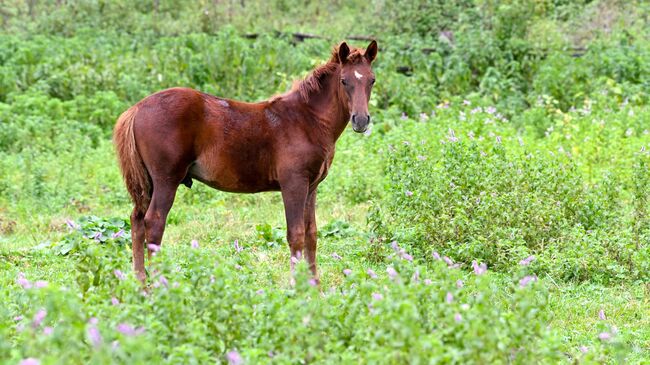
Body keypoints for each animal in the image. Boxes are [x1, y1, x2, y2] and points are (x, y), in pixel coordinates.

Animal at [114, 39, 378, 280]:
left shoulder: (311, 186)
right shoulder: (293, 183)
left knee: (137, 220)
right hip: (166, 179)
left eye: (372, 80)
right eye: (344, 81)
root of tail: (136, 108)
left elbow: (311, 234)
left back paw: (141, 284)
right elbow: (296, 235)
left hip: (148, 182)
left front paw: (315, 288)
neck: (307, 120)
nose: (361, 120)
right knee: (154, 223)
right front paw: (297, 288)